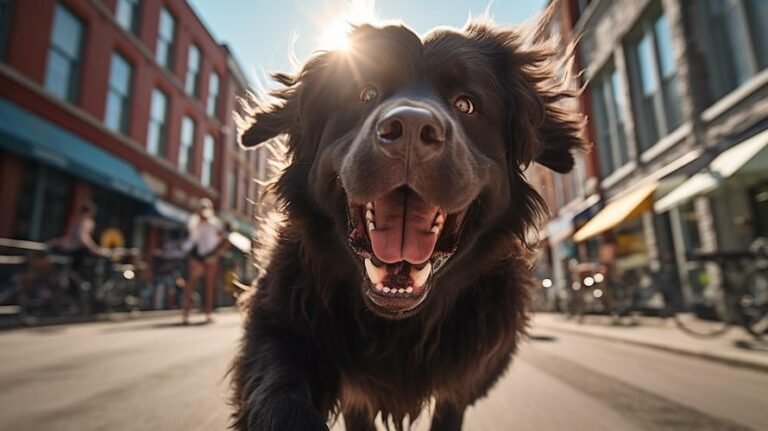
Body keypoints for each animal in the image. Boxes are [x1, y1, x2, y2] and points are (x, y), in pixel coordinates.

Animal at [231, 13, 584, 431]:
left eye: (465, 104)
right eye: (365, 94)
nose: (412, 129)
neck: (396, 326)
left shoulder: (463, 382)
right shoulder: (282, 320)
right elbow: (279, 388)